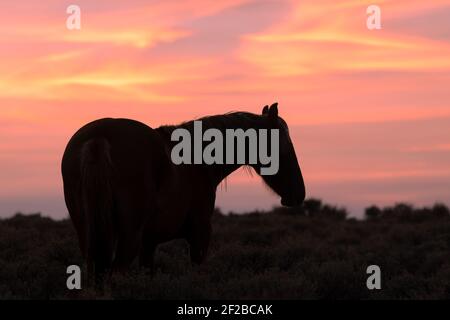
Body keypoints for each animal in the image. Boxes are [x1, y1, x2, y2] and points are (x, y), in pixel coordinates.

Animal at [61, 102, 306, 280]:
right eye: (284, 146)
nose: (299, 194)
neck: (197, 162)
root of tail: (98, 140)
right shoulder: (199, 235)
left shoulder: (149, 243)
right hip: (128, 238)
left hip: (90, 237)